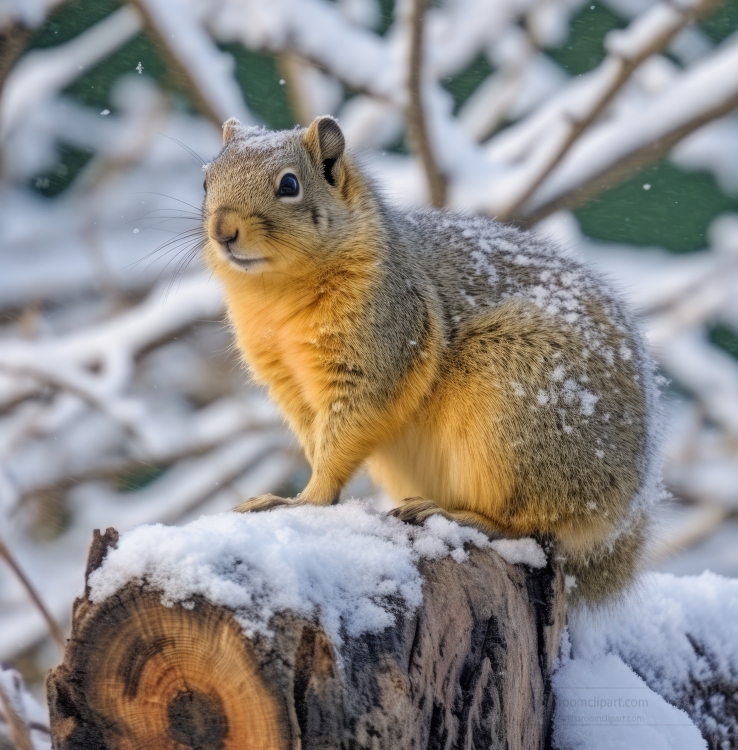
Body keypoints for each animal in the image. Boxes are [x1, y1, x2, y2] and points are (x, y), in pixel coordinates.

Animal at [200, 119, 660, 612]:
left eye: (289, 185)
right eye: (206, 180)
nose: (223, 230)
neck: (276, 294)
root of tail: (621, 520)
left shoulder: (385, 345)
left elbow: (345, 434)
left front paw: (303, 501)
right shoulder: (289, 386)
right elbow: (317, 439)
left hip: (518, 413)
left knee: (532, 526)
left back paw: (453, 514)